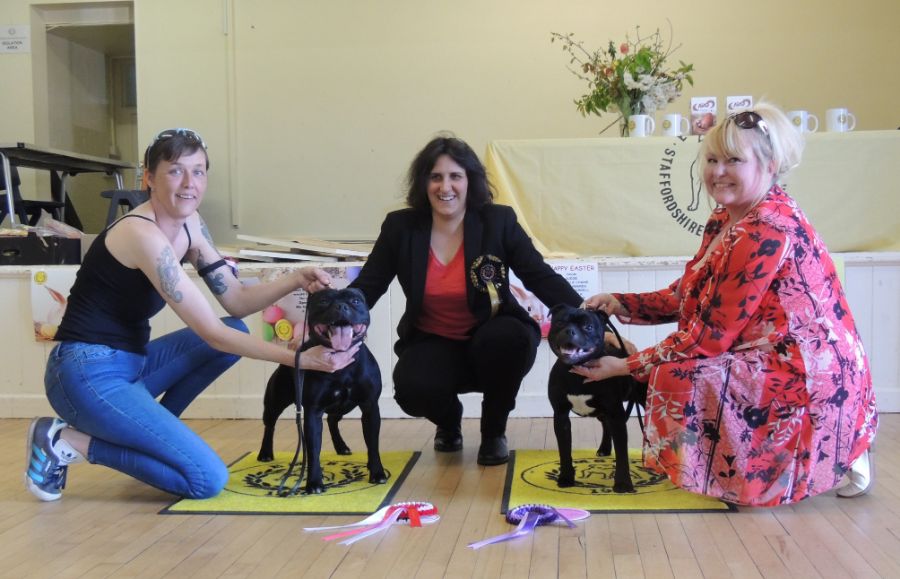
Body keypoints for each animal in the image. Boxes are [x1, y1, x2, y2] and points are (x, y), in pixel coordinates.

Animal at [257, 287, 387, 494]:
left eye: (355, 301)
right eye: (323, 301)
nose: (341, 306)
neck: (342, 363)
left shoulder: (370, 407)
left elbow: (373, 444)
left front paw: (377, 472)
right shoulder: (313, 412)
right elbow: (313, 449)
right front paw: (315, 483)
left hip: (345, 405)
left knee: (333, 419)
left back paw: (341, 447)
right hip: (274, 402)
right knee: (270, 425)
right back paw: (265, 452)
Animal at [547, 304, 646, 493]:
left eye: (588, 327)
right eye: (560, 322)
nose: (569, 331)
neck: (577, 374)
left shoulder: (616, 414)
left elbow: (622, 453)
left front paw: (623, 484)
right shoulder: (561, 415)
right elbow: (564, 451)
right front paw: (566, 478)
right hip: (602, 411)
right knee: (605, 424)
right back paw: (604, 448)